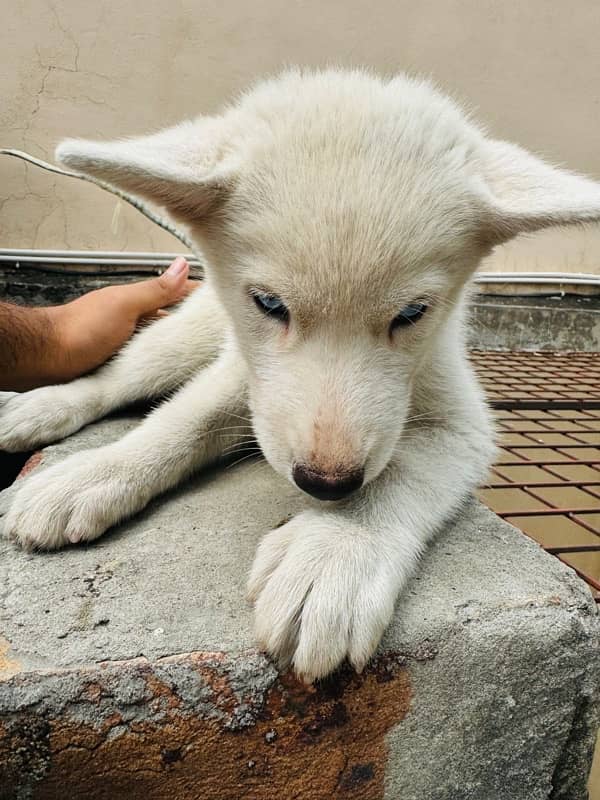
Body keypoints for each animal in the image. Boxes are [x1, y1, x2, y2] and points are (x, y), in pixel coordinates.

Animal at [1, 70, 600, 680]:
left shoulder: (459, 415)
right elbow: (185, 419)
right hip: (188, 334)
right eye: (269, 304)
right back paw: (43, 410)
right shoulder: (244, 372)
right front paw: (100, 473)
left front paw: (336, 552)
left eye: (412, 313)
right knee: (121, 374)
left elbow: (402, 469)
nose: (326, 483)